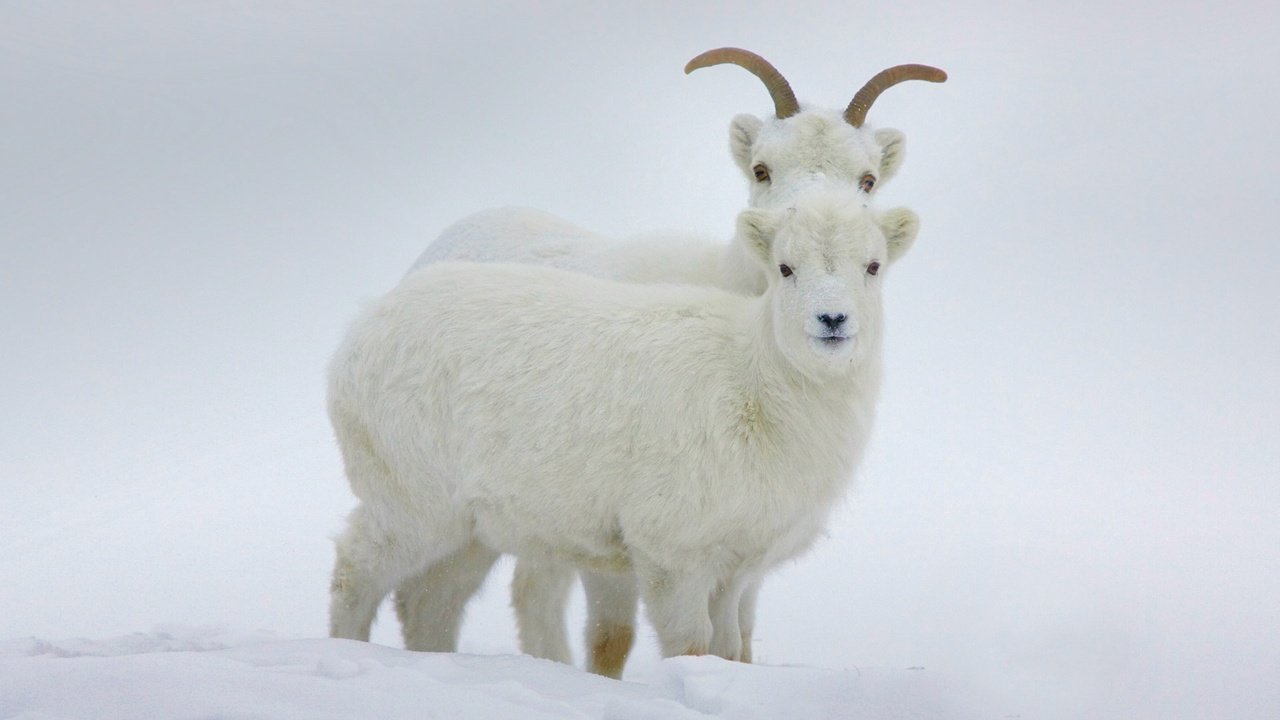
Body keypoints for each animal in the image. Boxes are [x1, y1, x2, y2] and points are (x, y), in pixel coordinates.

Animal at [330, 192, 921, 666]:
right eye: (785, 268)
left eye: (873, 266)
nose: (832, 320)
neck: (755, 385)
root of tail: (360, 330)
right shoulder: (673, 553)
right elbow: (690, 646)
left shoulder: (735, 566)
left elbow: (729, 648)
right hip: (410, 500)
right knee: (356, 570)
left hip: (471, 527)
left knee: (429, 602)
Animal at [394, 49, 947, 671]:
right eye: (761, 169)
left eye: (868, 178)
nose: (808, 222)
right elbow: (614, 638)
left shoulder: (743, 551)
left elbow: (740, 642)